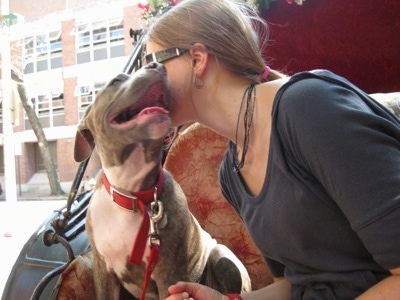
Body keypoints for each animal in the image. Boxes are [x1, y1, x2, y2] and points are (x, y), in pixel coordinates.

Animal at [73, 62, 252, 298]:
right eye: (115, 82)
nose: (156, 65)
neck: (132, 194)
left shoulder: (169, 274)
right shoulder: (104, 271)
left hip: (221, 256)